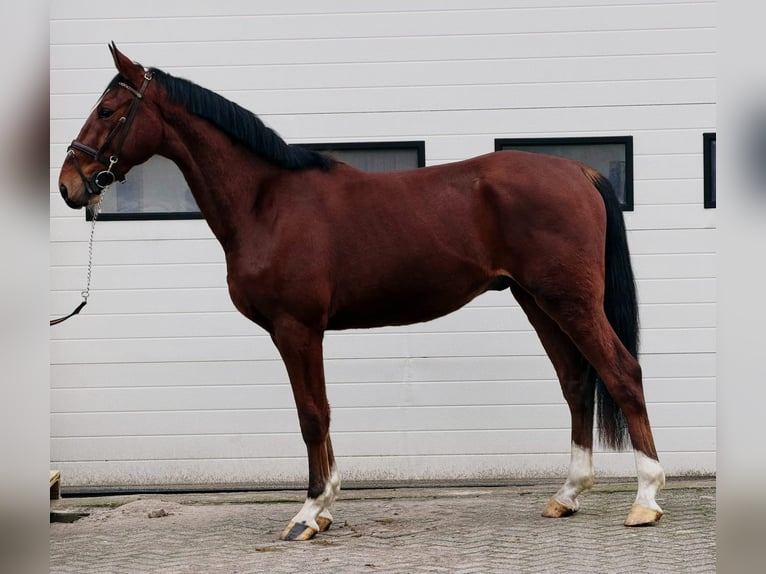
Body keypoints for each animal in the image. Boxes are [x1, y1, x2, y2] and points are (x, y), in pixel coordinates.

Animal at [57, 44, 665, 541]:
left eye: (107, 111)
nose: (69, 184)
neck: (265, 202)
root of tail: (578, 170)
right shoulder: (305, 332)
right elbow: (321, 412)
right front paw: (325, 506)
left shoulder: (296, 328)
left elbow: (311, 414)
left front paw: (307, 514)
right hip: (536, 300)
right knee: (576, 382)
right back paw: (568, 495)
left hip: (570, 301)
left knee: (621, 372)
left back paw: (645, 500)